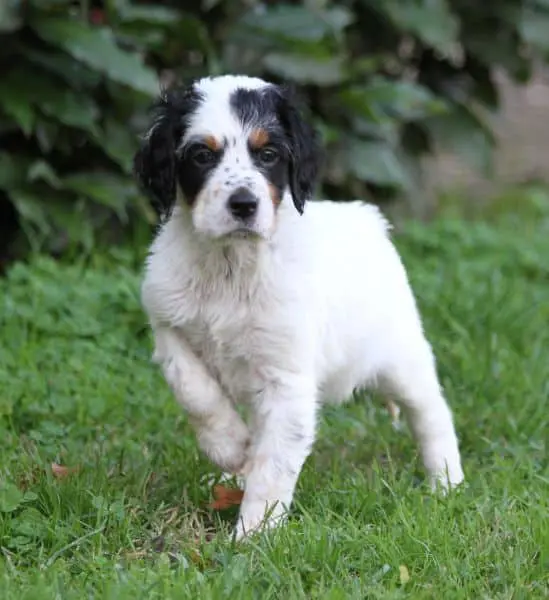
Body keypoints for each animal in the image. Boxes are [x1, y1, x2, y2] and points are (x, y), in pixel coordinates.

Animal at [134, 74, 464, 540]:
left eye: (268, 154)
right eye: (202, 155)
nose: (243, 205)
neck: (231, 266)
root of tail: (365, 216)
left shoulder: (286, 379)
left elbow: (274, 465)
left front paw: (252, 535)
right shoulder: (168, 324)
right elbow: (194, 391)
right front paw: (229, 448)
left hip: (401, 358)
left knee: (432, 412)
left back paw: (446, 483)